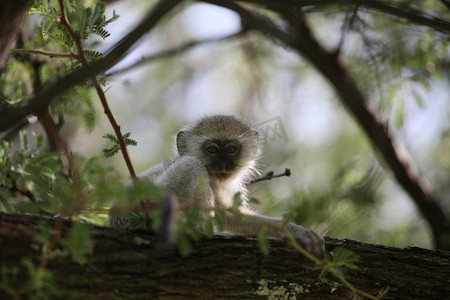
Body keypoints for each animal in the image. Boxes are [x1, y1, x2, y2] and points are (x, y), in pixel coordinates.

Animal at [107, 115, 326, 258]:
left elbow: (230, 215)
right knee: (191, 166)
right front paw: (293, 230)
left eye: (231, 149)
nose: (223, 165)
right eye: (212, 150)